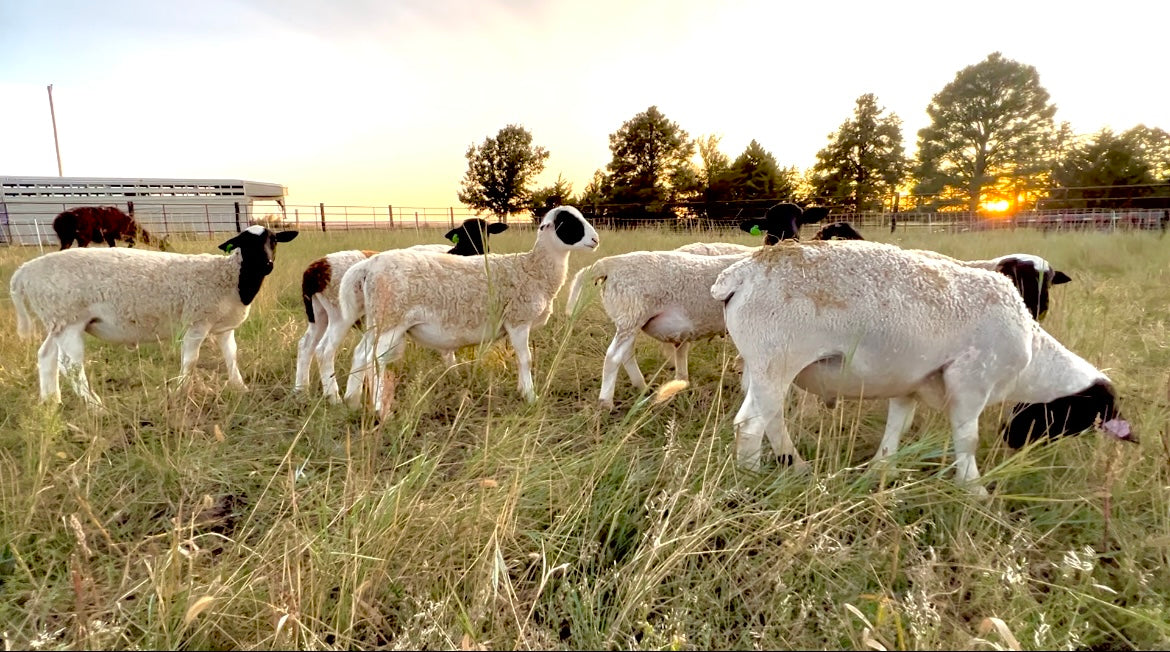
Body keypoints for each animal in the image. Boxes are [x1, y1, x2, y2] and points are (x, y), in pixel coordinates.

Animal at [10, 225, 298, 406]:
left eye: (273, 241)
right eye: (245, 243)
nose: (268, 264)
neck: (231, 277)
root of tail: (24, 272)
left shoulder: (223, 327)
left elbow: (231, 357)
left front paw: (241, 388)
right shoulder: (196, 321)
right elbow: (190, 361)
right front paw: (180, 391)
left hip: (56, 321)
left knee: (46, 357)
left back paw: (50, 402)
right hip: (68, 318)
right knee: (70, 367)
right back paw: (95, 406)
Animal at [293, 218, 508, 394]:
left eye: (486, 232)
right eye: (463, 234)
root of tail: (315, 270)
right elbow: (447, 348)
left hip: (319, 315)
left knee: (305, 346)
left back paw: (301, 391)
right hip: (341, 314)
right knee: (325, 350)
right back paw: (334, 397)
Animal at [319, 206, 598, 413]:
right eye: (568, 223)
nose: (595, 240)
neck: (532, 269)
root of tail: (368, 265)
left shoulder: (512, 325)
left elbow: (520, 359)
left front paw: (522, 390)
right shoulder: (518, 320)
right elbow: (526, 359)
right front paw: (530, 396)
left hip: (380, 320)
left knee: (358, 355)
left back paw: (351, 402)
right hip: (390, 320)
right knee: (373, 359)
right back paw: (375, 407)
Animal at [711, 240, 1133, 492]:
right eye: (1078, 412)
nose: (1010, 439)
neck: (1032, 358)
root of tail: (742, 273)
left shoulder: (909, 387)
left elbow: (898, 426)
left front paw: (883, 470)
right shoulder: (970, 383)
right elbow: (967, 439)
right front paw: (974, 490)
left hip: (762, 367)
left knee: (771, 418)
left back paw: (796, 467)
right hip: (777, 360)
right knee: (750, 426)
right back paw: (751, 478)